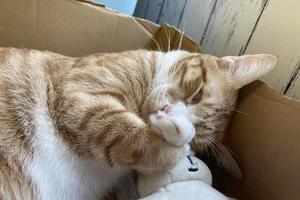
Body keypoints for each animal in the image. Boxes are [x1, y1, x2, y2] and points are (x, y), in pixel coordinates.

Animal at [0, 47, 276, 199]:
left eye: (200, 138)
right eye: (196, 94)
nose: (165, 110)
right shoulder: (79, 94)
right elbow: (147, 143)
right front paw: (175, 132)